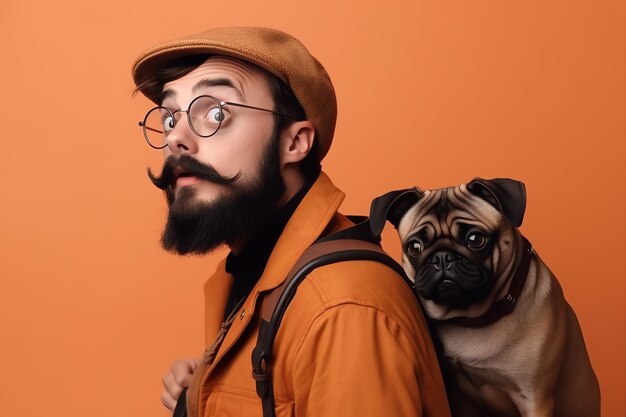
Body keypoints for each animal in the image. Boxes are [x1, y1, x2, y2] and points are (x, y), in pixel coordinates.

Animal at [368, 178, 596, 416]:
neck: (476, 318)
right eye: (414, 247)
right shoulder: (459, 397)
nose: (442, 257)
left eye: (476, 239)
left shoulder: (536, 399)